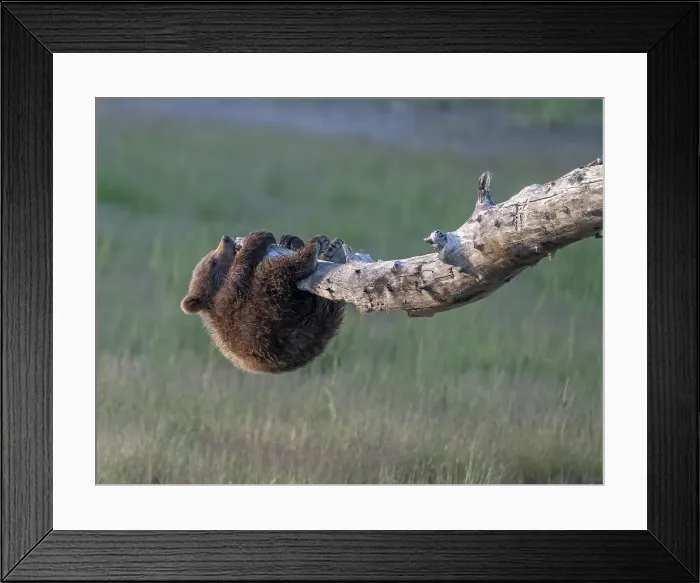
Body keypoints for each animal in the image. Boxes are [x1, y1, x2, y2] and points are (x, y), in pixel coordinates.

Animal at [180, 231, 347, 374]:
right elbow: (239, 276)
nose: (225, 238)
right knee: (275, 271)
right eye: (212, 262)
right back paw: (313, 250)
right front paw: (257, 238)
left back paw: (326, 248)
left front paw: (289, 238)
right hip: (273, 313)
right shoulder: (230, 304)